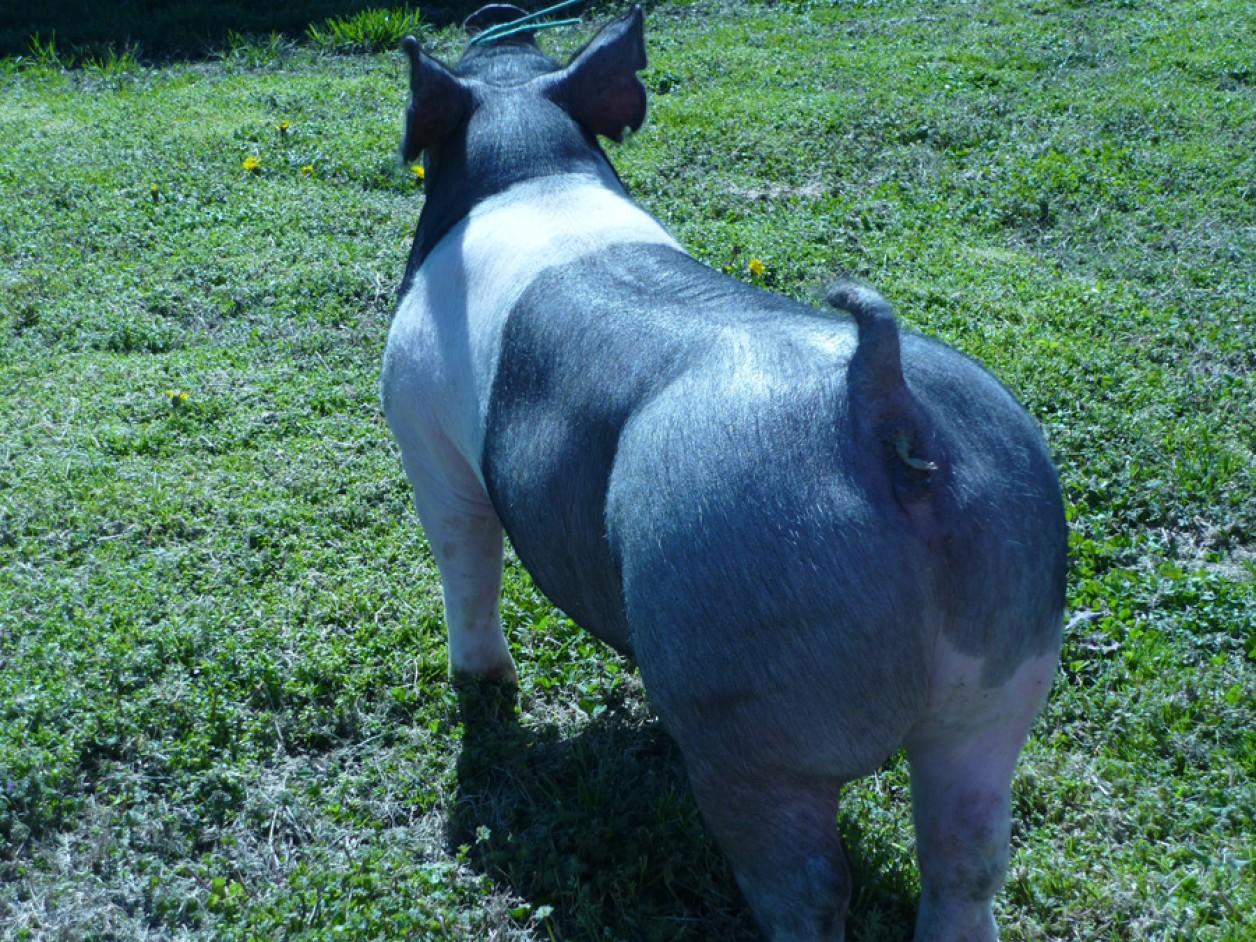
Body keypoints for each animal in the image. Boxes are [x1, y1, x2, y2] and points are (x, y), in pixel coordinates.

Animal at [380, 5, 1067, 940]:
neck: (529, 156)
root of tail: (879, 397)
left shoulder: (422, 429)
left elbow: (464, 561)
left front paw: (481, 688)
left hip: (746, 668)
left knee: (809, 886)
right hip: (1010, 655)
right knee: (969, 856)